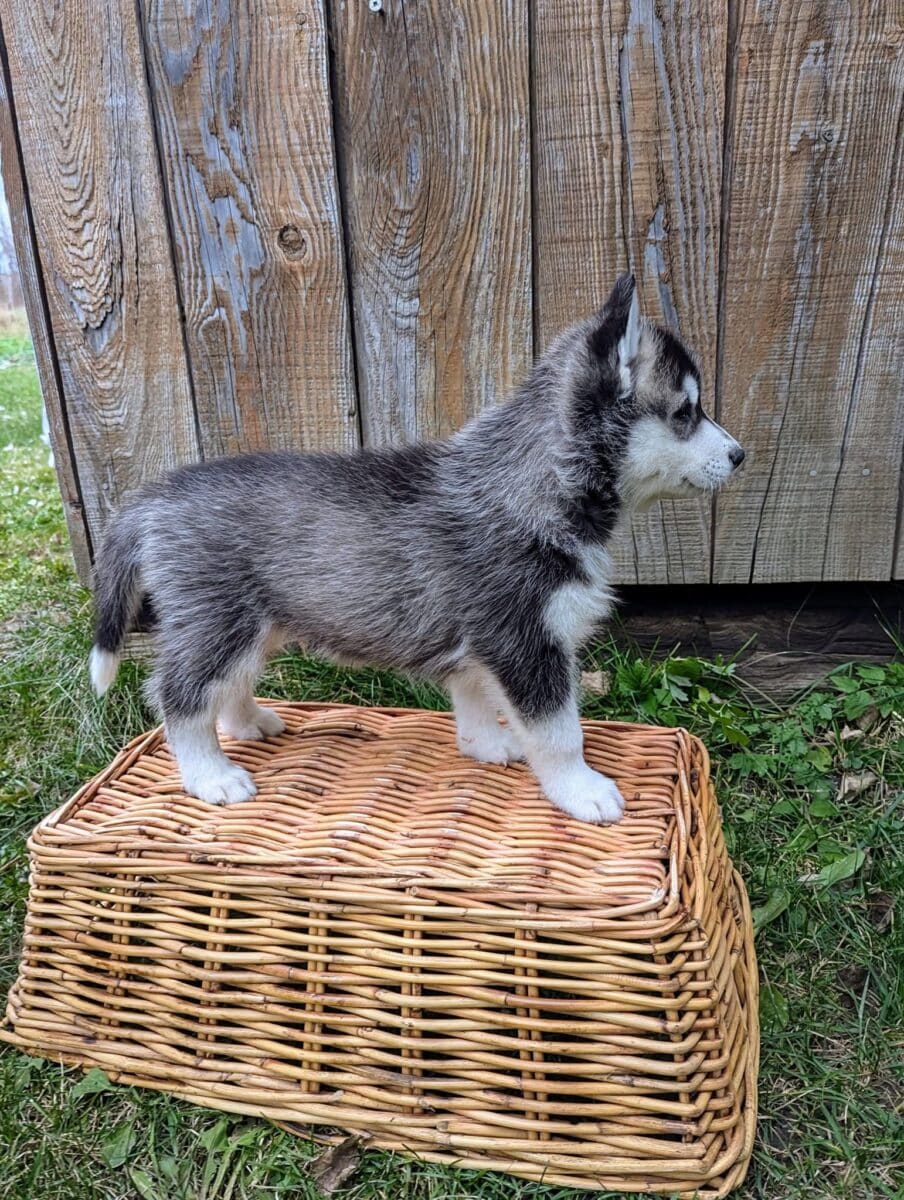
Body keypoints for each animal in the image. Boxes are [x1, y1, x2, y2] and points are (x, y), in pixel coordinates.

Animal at [88, 276, 744, 825]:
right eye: (686, 412)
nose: (741, 456)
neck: (536, 482)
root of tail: (154, 494)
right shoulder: (527, 643)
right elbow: (561, 732)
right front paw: (581, 790)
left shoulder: (486, 646)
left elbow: (474, 699)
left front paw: (487, 745)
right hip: (220, 623)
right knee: (178, 695)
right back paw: (210, 775)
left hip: (256, 628)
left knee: (224, 687)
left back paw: (248, 723)